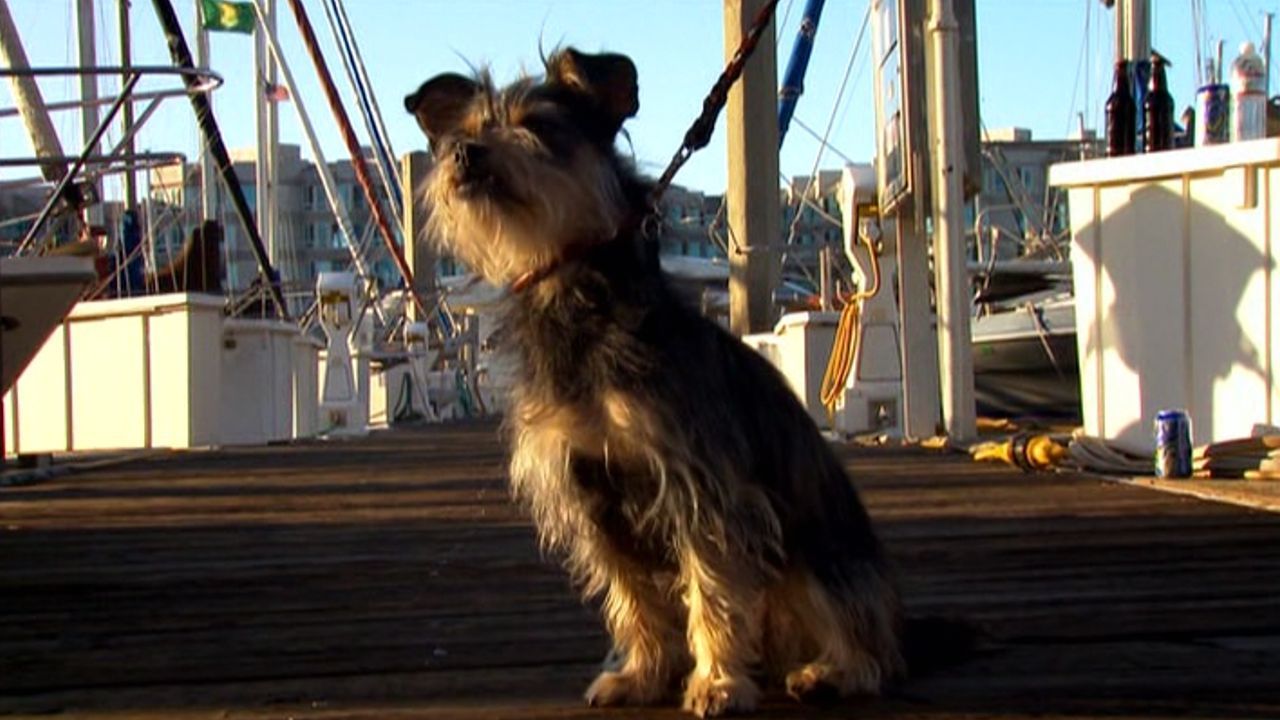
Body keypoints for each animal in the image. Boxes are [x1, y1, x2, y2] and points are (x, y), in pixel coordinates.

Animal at [405, 48, 903, 717]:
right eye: (467, 130)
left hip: (815, 556)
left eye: (538, 125)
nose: (463, 153)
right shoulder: (595, 493)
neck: (580, 301)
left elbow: (711, 587)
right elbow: (634, 597)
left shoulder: (701, 484)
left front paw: (717, 682)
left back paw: (830, 669)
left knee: (868, 644)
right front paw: (643, 673)